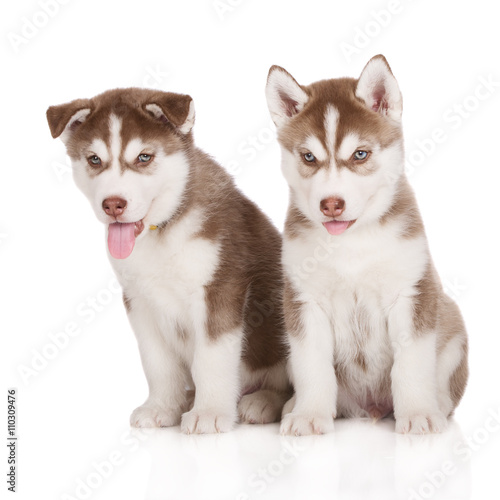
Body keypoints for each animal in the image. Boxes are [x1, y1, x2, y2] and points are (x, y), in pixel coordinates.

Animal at [47, 89, 290, 434]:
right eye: (94, 159)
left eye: (144, 157)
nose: (113, 204)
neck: (162, 230)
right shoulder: (139, 300)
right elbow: (157, 361)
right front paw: (163, 406)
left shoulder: (219, 290)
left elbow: (211, 359)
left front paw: (209, 412)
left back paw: (262, 401)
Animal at [266, 54, 468, 434]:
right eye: (309, 157)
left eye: (360, 154)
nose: (331, 204)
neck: (351, 243)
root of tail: (369, 408)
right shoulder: (304, 300)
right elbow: (312, 364)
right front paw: (309, 414)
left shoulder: (411, 293)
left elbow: (411, 363)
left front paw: (418, 413)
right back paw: (289, 406)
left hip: (453, 329)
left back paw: (436, 405)